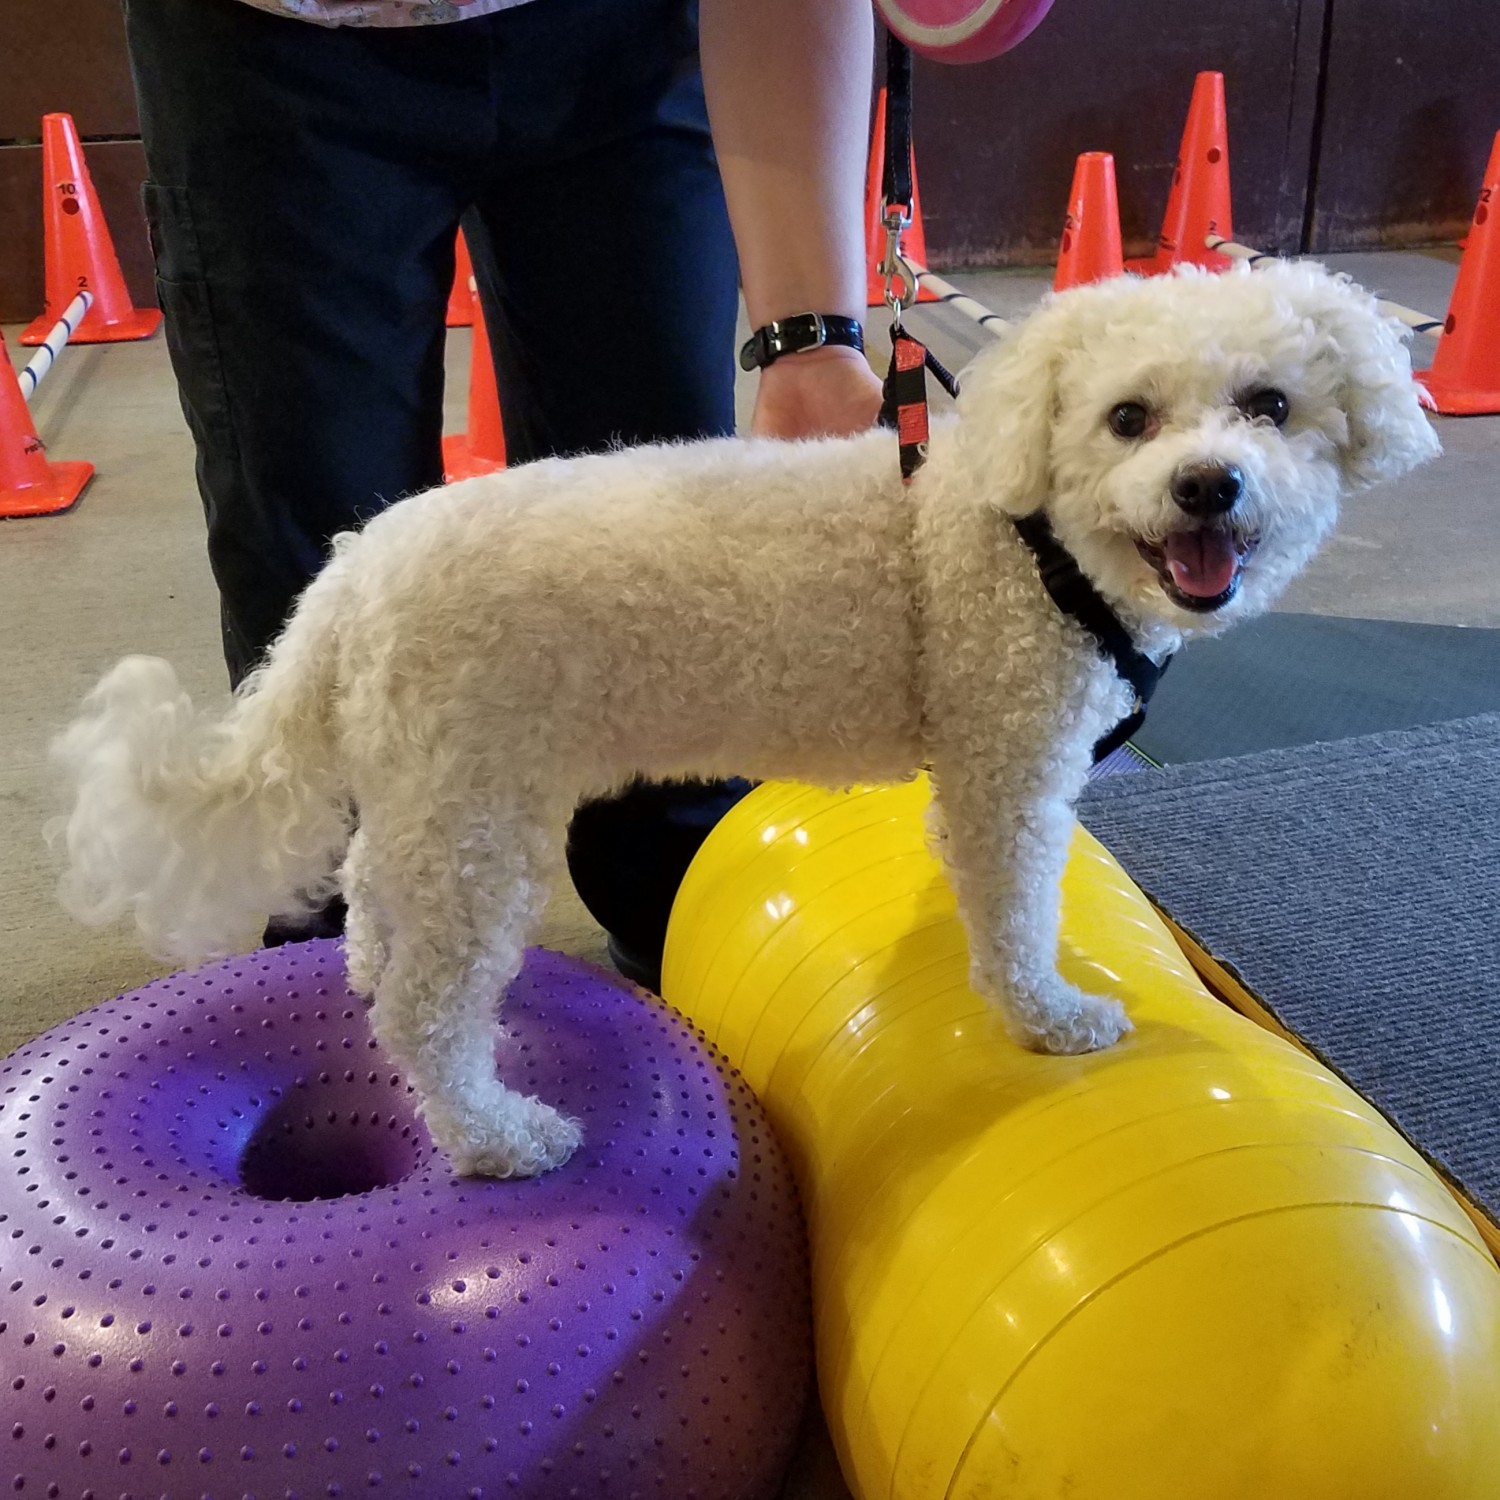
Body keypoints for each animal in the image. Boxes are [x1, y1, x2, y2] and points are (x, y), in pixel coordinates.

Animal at [52, 264, 1440, 1176]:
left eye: (1268, 405)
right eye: (1128, 419)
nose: (1209, 486)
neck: (1025, 535)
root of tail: (347, 580)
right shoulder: (1009, 760)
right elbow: (1014, 914)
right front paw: (1048, 1018)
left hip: (423, 801)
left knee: (371, 915)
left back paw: (363, 970)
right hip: (478, 817)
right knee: (425, 1014)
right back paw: (499, 1136)